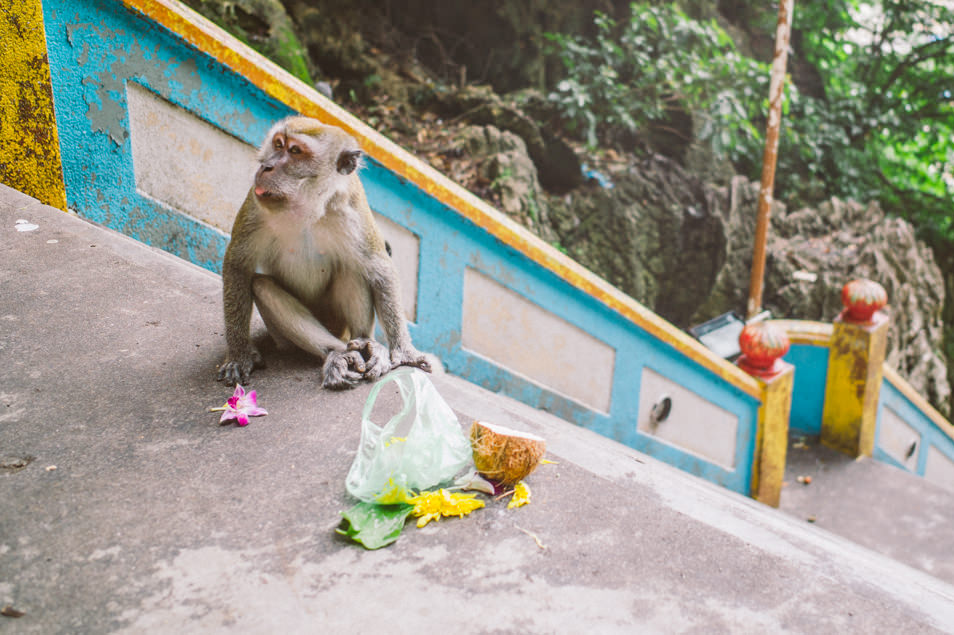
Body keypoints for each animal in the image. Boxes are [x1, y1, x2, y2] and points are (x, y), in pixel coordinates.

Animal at [218, 117, 430, 390]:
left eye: (295, 151)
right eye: (278, 144)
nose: (266, 166)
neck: (308, 206)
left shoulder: (353, 207)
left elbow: (379, 268)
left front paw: (405, 352)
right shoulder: (255, 205)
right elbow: (238, 264)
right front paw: (239, 354)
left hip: (340, 324)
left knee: (354, 270)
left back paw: (366, 345)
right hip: (286, 338)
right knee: (263, 286)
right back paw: (338, 354)